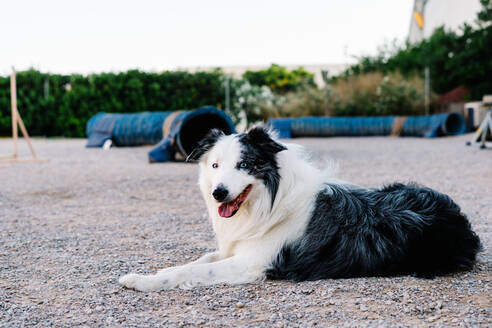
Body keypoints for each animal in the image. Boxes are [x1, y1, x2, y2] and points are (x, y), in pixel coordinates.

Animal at [119, 127, 480, 290]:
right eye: (215, 165)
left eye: (244, 164)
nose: (218, 193)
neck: (268, 202)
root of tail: (459, 217)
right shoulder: (237, 247)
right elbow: (198, 260)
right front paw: (152, 273)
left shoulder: (254, 263)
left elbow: (192, 271)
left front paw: (143, 282)